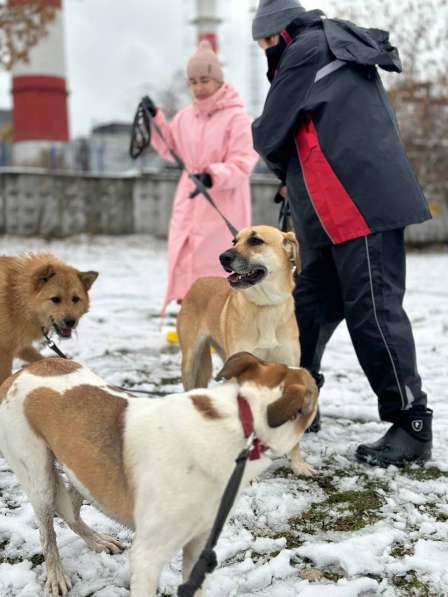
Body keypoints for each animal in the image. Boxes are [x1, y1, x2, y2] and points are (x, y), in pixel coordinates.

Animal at [0, 254, 97, 384]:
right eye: (55, 299)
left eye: (75, 299)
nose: (70, 322)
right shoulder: (5, 352)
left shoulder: (19, 345)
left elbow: (39, 359)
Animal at [0, 352, 318, 592]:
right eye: (314, 389)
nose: (319, 377)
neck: (243, 419)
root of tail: (20, 372)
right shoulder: (146, 558)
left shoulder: (198, 545)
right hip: (38, 476)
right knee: (48, 533)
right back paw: (56, 575)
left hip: (82, 466)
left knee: (70, 511)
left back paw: (97, 540)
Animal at [177, 226, 314, 478]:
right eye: (235, 240)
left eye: (256, 241)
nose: (222, 257)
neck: (266, 307)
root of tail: (199, 280)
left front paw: (298, 464)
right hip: (190, 361)